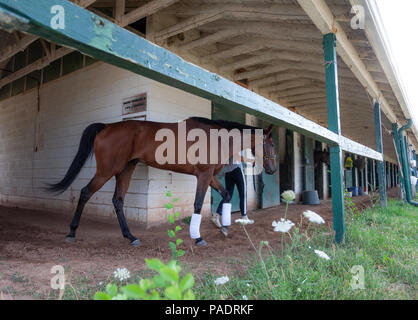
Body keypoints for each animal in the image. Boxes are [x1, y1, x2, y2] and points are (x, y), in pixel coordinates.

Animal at [46, 117, 278, 248]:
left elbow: (227, 195)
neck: (216, 138)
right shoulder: (203, 176)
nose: (272, 169)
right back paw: (72, 232)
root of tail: (107, 127)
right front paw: (198, 237)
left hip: (125, 170)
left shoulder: (210, 176)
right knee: (86, 193)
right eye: (272, 144)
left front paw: (224, 227)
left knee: (118, 200)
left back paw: (131, 237)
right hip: (106, 171)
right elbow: (197, 204)